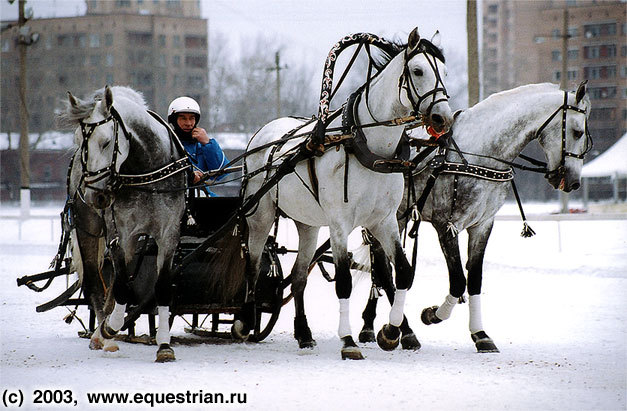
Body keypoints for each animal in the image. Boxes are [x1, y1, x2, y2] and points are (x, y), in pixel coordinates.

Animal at [239, 28, 452, 360]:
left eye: (443, 71)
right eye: (418, 71)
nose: (444, 118)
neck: (368, 147)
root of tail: (262, 134)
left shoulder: (384, 221)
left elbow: (402, 273)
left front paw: (392, 331)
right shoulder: (340, 224)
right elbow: (344, 281)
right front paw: (349, 340)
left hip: (308, 223)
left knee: (299, 277)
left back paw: (304, 333)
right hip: (260, 216)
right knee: (252, 264)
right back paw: (247, 322)